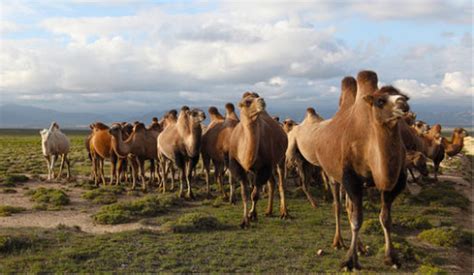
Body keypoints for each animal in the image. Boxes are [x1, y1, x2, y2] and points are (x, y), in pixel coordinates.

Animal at [228, 92, 286, 229]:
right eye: (247, 102)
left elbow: (254, 195)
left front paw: (252, 215)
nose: (262, 100)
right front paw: (245, 221)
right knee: (272, 182)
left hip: (280, 159)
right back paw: (269, 211)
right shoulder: (238, 167)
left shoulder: (264, 167)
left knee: (280, 183)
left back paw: (284, 213)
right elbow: (245, 194)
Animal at [288, 71, 412, 272]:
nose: (403, 104)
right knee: (338, 206)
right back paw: (338, 242)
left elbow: (385, 219)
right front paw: (349, 261)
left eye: (403, 96)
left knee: (348, 206)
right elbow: (357, 219)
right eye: (380, 101)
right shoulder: (351, 178)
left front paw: (392, 258)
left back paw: (360, 247)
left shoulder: (394, 183)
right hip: (332, 175)